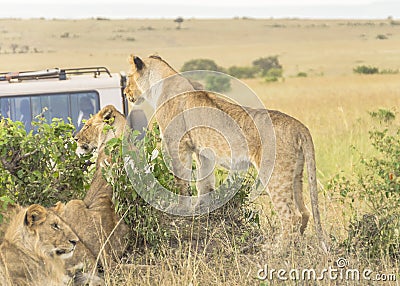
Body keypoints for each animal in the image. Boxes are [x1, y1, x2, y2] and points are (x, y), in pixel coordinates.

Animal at [126, 54, 326, 250]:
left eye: (128, 77)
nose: (126, 93)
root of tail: (299, 125)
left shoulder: (178, 145)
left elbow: (182, 181)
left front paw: (182, 209)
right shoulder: (202, 152)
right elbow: (204, 182)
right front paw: (200, 209)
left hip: (274, 173)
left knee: (291, 216)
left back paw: (275, 248)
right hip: (295, 174)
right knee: (305, 212)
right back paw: (295, 245)